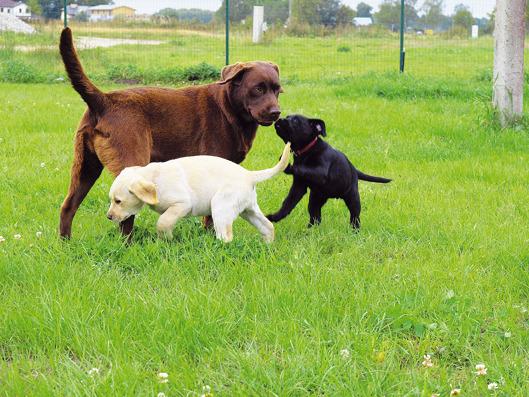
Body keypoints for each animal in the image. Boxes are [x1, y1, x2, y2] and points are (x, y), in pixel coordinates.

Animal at [58, 28, 282, 238]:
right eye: (258, 89)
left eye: (278, 90)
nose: (276, 112)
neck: (228, 107)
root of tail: (104, 100)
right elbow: (210, 217)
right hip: (129, 165)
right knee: (125, 213)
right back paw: (127, 245)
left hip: (85, 167)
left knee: (68, 207)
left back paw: (65, 243)